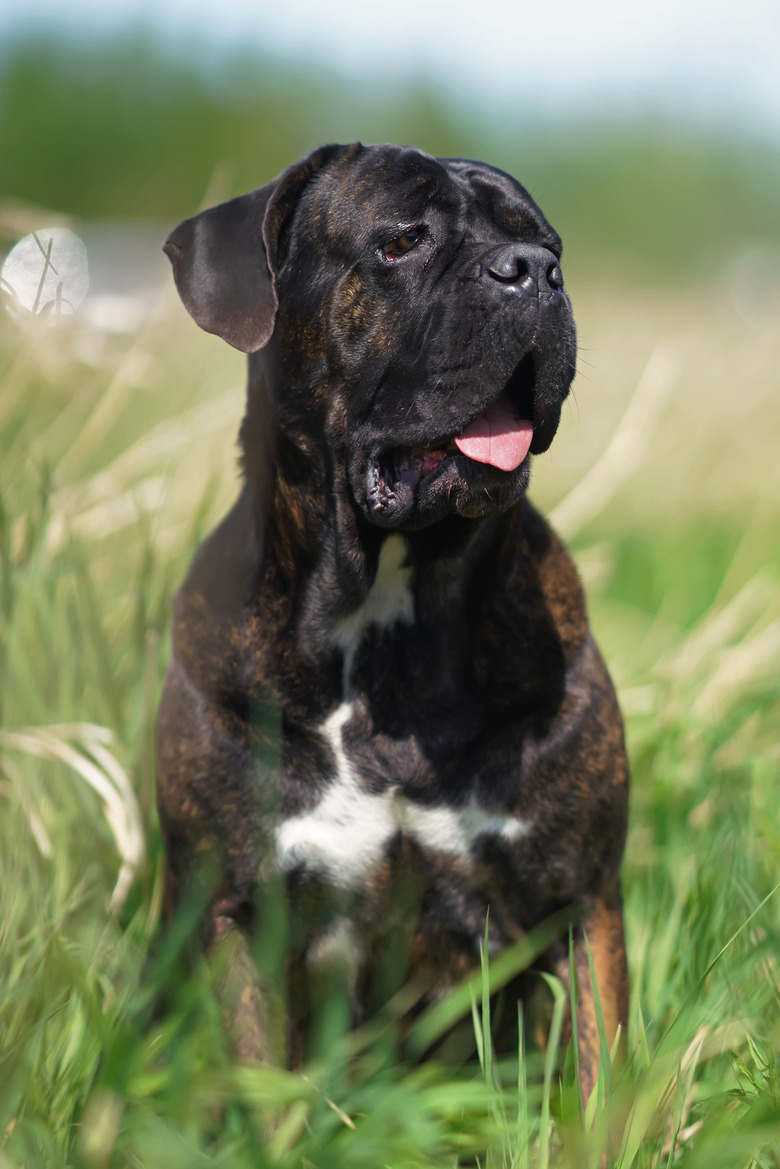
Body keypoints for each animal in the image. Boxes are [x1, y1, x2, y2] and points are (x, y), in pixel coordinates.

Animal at [156, 143, 626, 1094]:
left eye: (548, 244)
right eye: (402, 241)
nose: (534, 273)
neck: (387, 623)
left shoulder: (581, 895)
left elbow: (603, 1080)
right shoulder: (234, 909)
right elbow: (262, 1087)